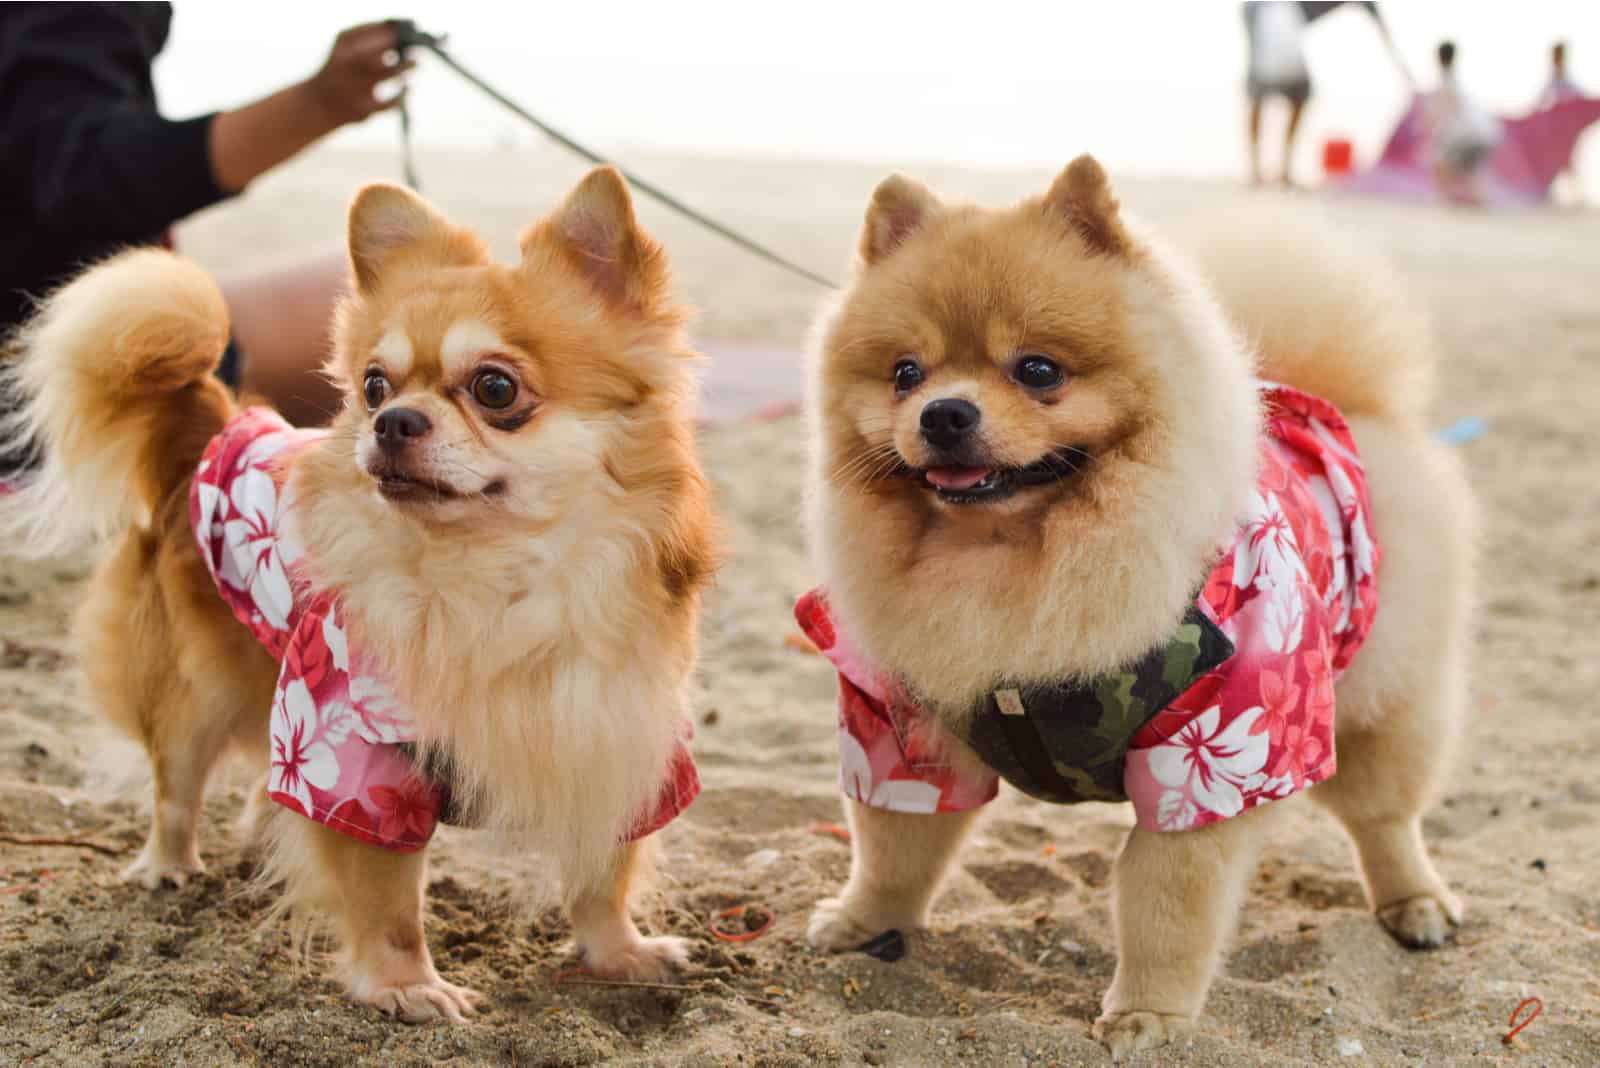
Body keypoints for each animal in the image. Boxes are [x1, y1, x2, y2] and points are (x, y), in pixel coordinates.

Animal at [0, 167, 713, 1016]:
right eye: (374, 386)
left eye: (495, 388)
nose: (394, 420)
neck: (498, 582)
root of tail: (220, 425)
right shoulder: (355, 760)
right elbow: (387, 900)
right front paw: (406, 987)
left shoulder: (616, 732)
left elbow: (605, 869)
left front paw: (618, 952)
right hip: (199, 685)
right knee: (176, 783)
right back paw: (167, 865)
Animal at [800, 154, 1472, 1055]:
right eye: (907, 372)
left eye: (1038, 371)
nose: (943, 413)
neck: (1007, 561)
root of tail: (1327, 396)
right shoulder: (903, 730)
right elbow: (894, 847)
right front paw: (864, 920)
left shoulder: (1209, 754)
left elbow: (1166, 905)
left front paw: (1149, 1012)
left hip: (1376, 694)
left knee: (1386, 815)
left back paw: (1415, 903)